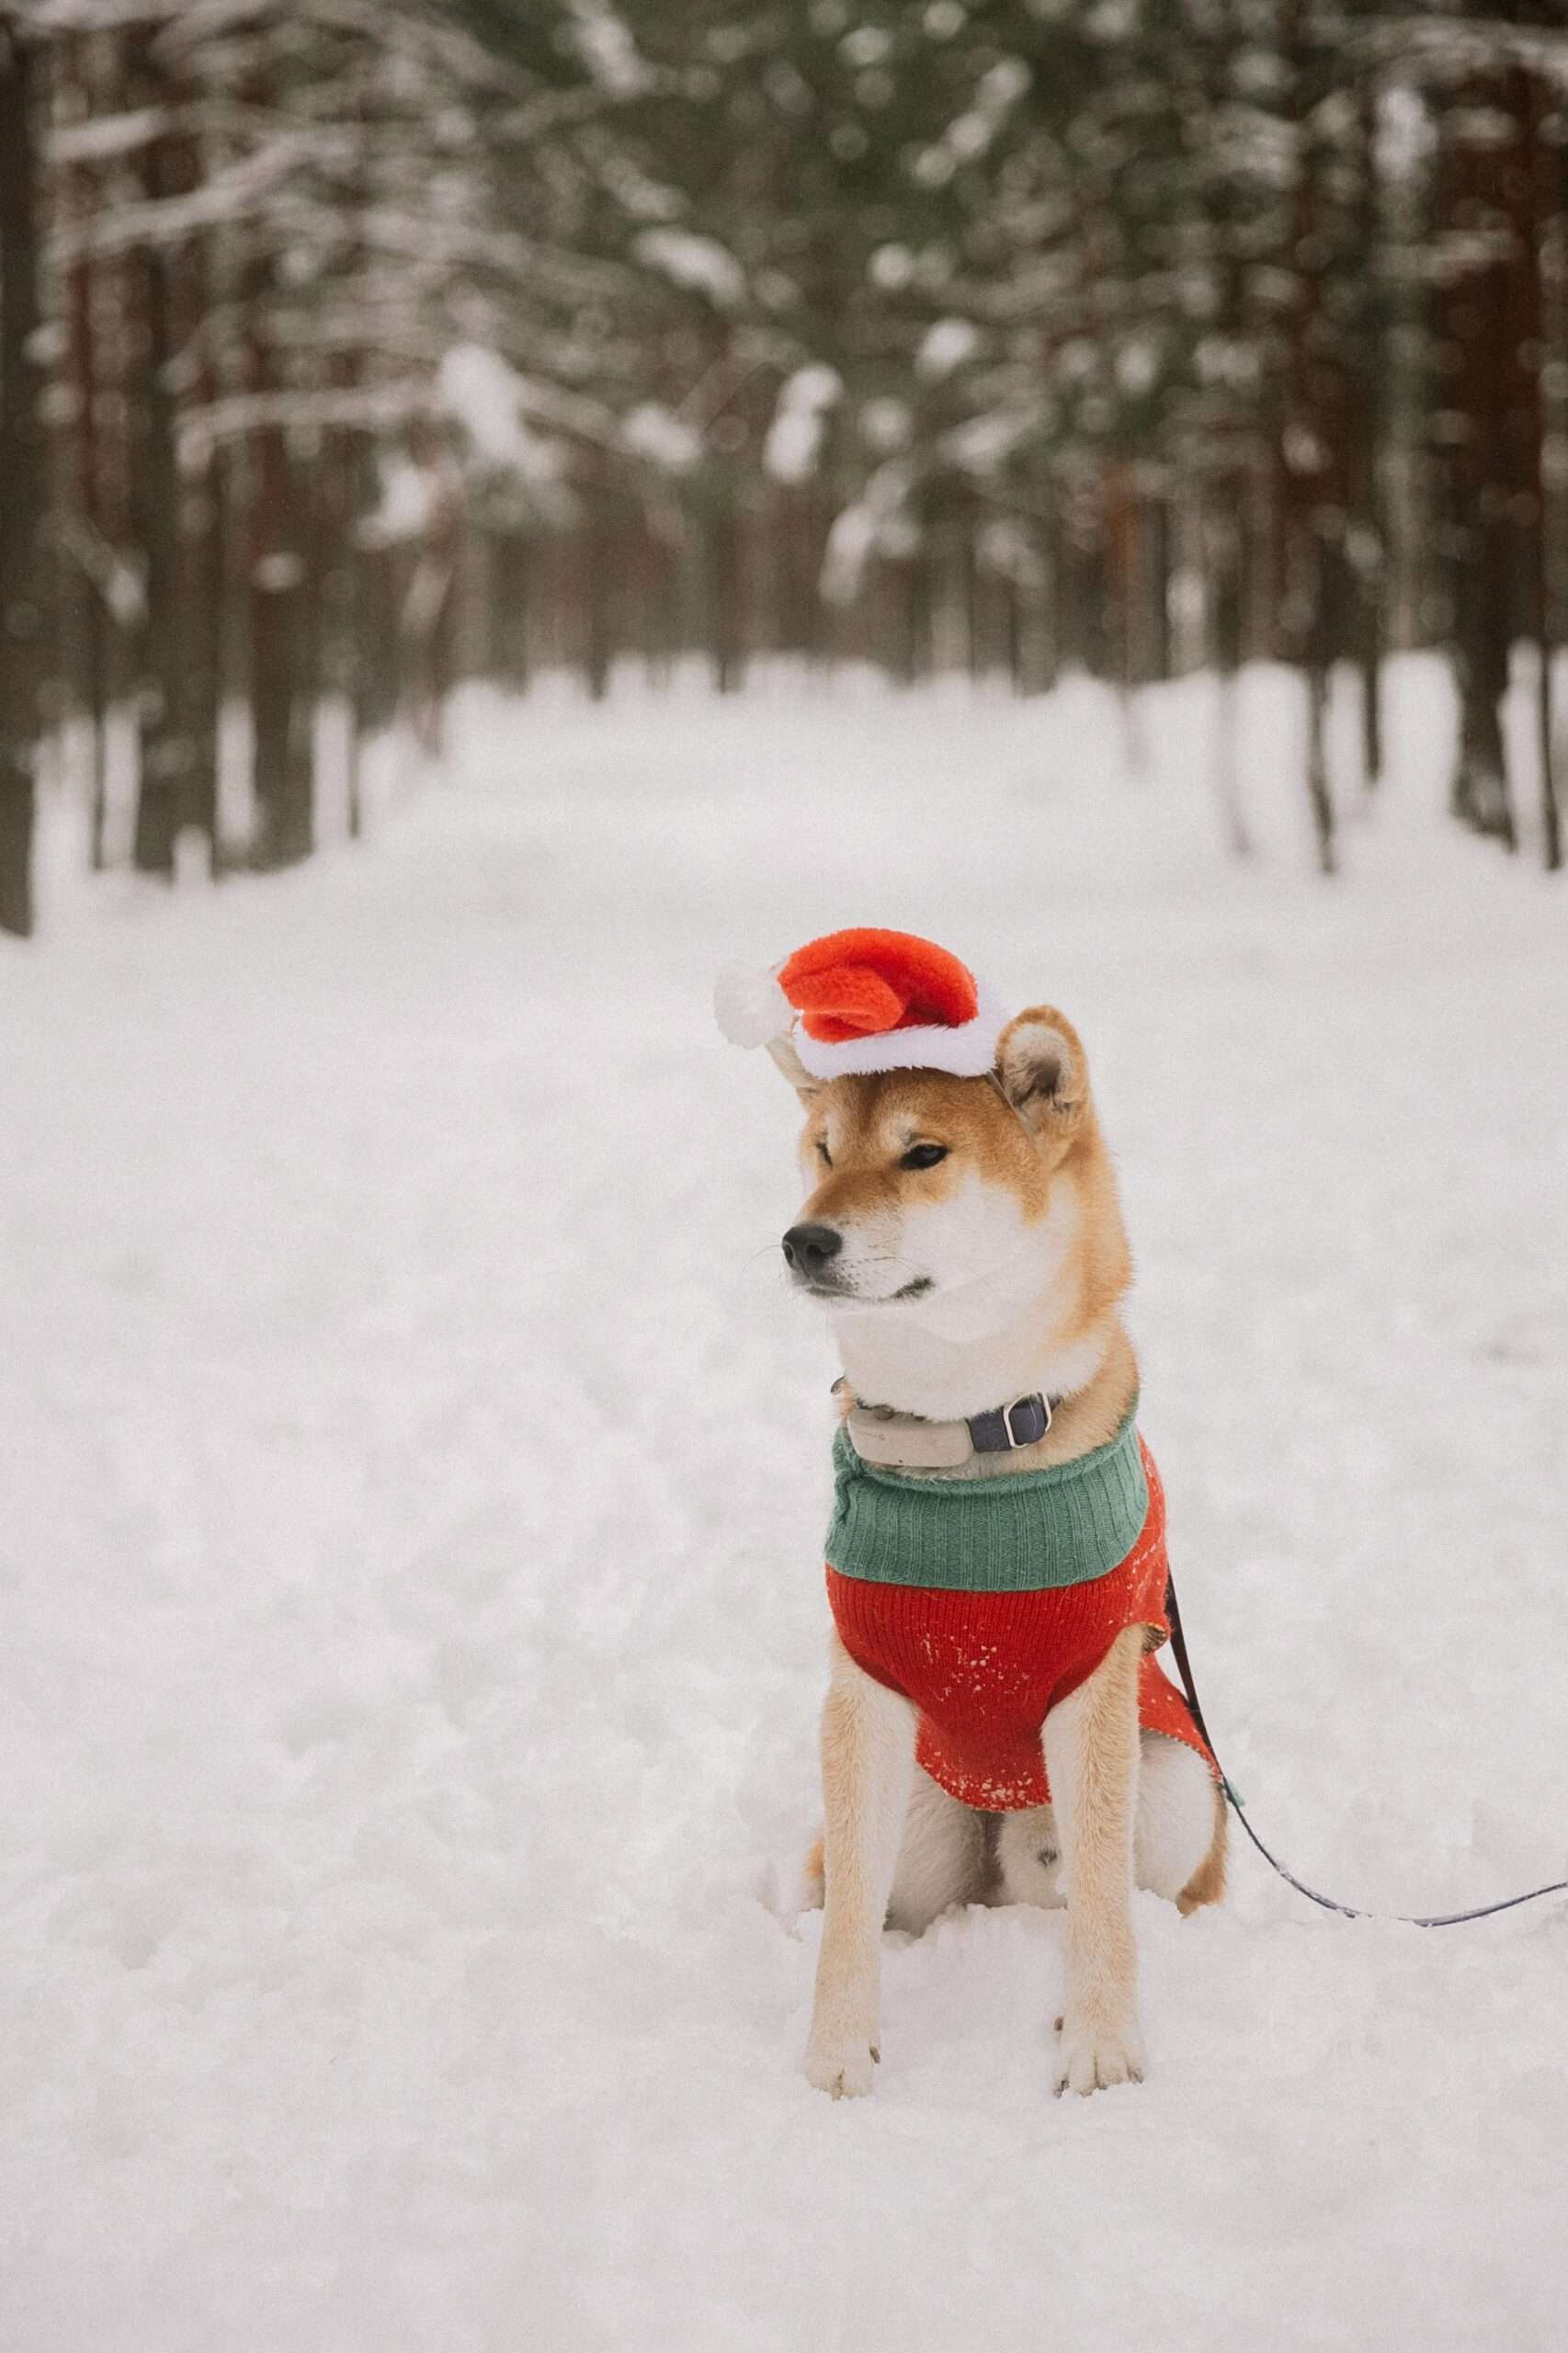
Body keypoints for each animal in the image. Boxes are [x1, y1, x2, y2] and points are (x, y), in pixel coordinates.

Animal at [715, 926, 1224, 2108]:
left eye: (922, 1155)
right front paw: (836, 2051)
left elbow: (1099, 1904)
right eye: (822, 1148)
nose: (802, 1241)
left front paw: (1100, 2044)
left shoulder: (1092, 1682)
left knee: (1111, 1887)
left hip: (1178, 1780)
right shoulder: (864, 1683)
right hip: (920, 1819)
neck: (968, 1436)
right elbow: (847, 1921)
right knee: (877, 1890)